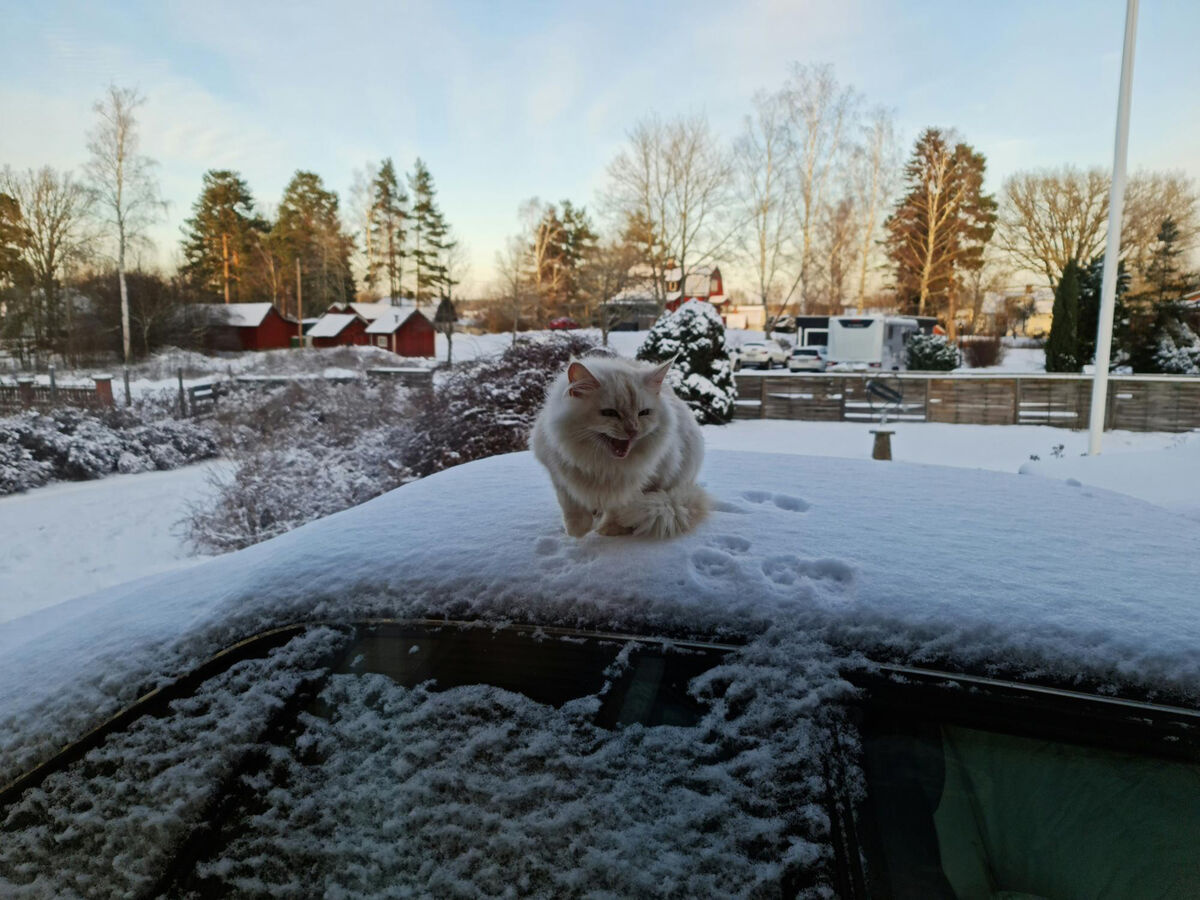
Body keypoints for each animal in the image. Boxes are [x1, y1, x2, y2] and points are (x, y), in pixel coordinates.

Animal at [530, 357, 705, 542]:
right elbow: (573, 508)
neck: (603, 466)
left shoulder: (643, 482)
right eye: (609, 413)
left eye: (643, 413)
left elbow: (618, 509)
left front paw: (610, 530)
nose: (633, 430)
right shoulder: (558, 475)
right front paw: (577, 531)